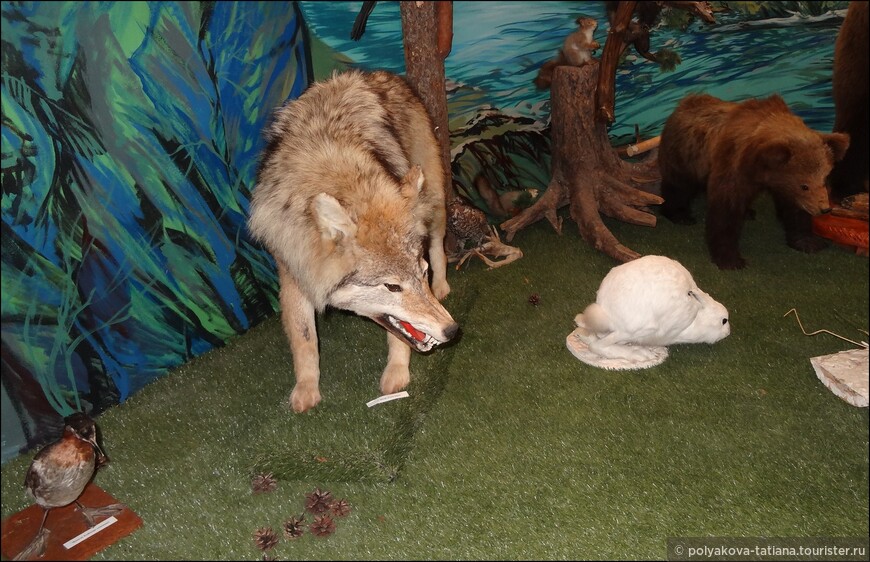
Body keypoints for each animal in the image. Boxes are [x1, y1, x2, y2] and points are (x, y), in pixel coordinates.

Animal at [249, 69, 460, 412]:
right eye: (392, 287)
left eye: (423, 273)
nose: (452, 330)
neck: (330, 170)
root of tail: (377, 73)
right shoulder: (294, 269)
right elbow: (305, 340)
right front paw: (306, 388)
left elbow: (397, 334)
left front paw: (397, 371)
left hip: (435, 199)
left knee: (439, 243)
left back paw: (442, 286)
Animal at [660, 94, 852, 270]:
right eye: (804, 185)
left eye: (825, 178)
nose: (824, 208)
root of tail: (684, 102)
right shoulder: (732, 168)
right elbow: (725, 214)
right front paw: (731, 260)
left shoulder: (781, 184)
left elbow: (795, 211)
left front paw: (808, 242)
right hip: (685, 156)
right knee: (678, 186)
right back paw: (680, 214)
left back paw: (748, 212)